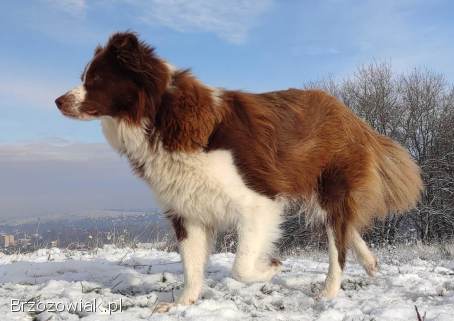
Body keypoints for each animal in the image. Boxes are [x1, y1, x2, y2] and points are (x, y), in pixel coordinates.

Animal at [55, 31, 422, 308]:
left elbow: (240, 266)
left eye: (96, 79)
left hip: (331, 184)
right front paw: (182, 304)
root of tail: (351, 115)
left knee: (337, 245)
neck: (161, 116)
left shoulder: (258, 201)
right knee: (345, 228)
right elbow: (192, 265)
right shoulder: (186, 209)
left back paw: (329, 291)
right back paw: (370, 262)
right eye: (84, 77)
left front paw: (271, 266)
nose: (58, 101)